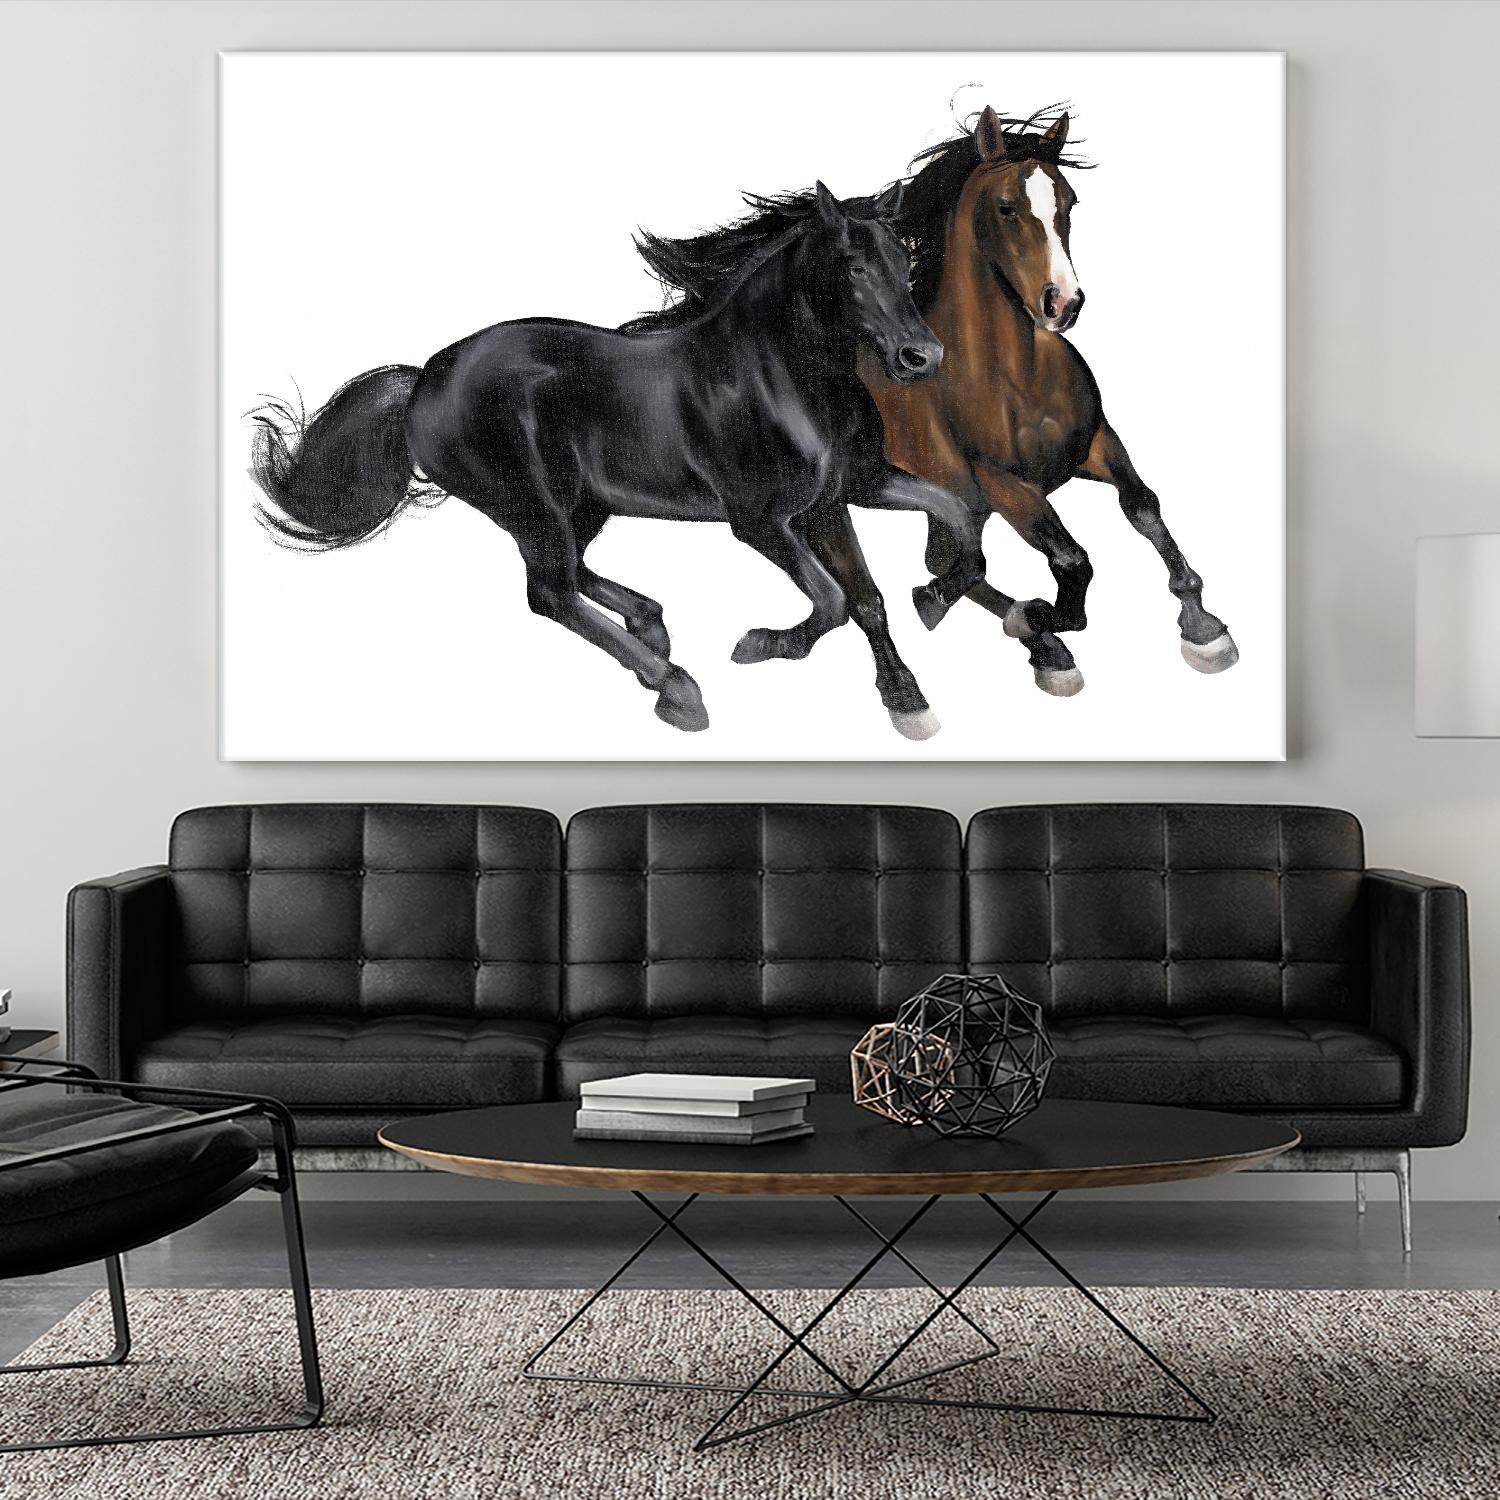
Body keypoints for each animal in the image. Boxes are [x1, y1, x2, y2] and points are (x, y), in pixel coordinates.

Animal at [249, 183, 987, 739]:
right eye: (853, 267)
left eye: (904, 264)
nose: (922, 358)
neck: (781, 378)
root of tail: (425, 376)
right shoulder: (761, 522)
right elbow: (834, 600)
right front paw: (760, 644)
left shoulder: (846, 494)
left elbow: (922, 550)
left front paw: (917, 668)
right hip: (532, 507)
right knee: (549, 591)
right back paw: (678, 689)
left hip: (582, 506)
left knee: (568, 576)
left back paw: (652, 628)